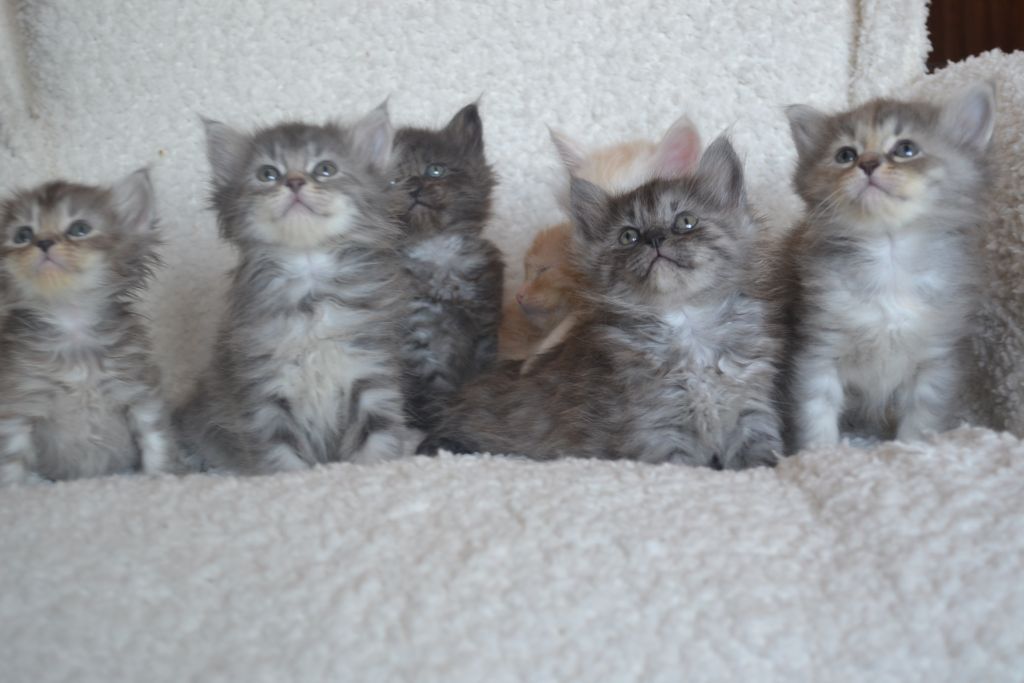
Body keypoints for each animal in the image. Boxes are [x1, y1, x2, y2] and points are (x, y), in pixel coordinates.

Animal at [0, 170, 179, 484]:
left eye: (79, 229)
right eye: (22, 235)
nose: (43, 242)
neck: (72, 324)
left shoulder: (139, 393)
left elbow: (156, 442)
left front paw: (161, 477)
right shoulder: (18, 404)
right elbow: (10, 463)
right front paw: (15, 488)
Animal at [175, 103, 413, 474]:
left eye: (326, 169)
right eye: (268, 174)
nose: (295, 181)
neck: (309, 283)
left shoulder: (370, 371)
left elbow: (377, 439)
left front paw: (376, 471)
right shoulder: (263, 388)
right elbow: (281, 457)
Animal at [389, 102, 504, 432]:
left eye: (435, 170)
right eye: (392, 181)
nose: (414, 186)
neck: (437, 250)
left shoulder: (484, 329)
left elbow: (478, 380)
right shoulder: (418, 337)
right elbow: (434, 389)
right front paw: (437, 421)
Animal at [783, 83, 995, 451]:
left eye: (905, 149)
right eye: (845, 155)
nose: (867, 163)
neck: (889, 258)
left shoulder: (937, 359)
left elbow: (922, 418)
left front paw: (910, 451)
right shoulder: (816, 348)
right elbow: (815, 411)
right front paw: (819, 454)